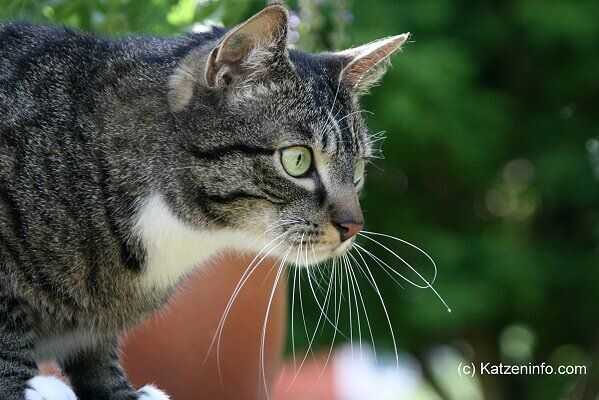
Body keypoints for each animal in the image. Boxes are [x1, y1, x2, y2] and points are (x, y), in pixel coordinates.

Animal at [0, 3, 408, 400]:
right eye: (297, 160)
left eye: (358, 170)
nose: (354, 226)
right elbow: (10, 354)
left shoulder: (95, 335)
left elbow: (99, 361)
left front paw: (125, 394)